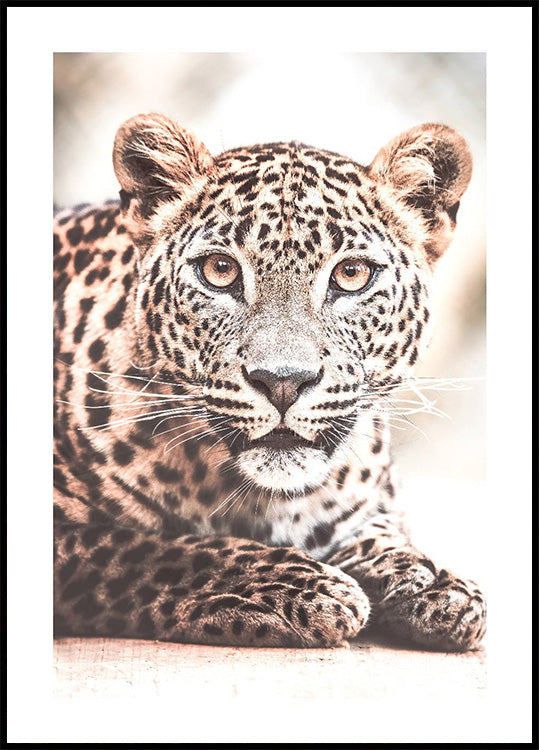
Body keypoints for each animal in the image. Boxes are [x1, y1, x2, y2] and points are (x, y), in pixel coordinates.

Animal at [53, 113, 486, 651]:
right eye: (219, 270)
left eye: (351, 273)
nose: (283, 381)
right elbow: (147, 549)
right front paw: (298, 587)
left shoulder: (372, 508)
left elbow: (383, 538)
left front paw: (436, 584)